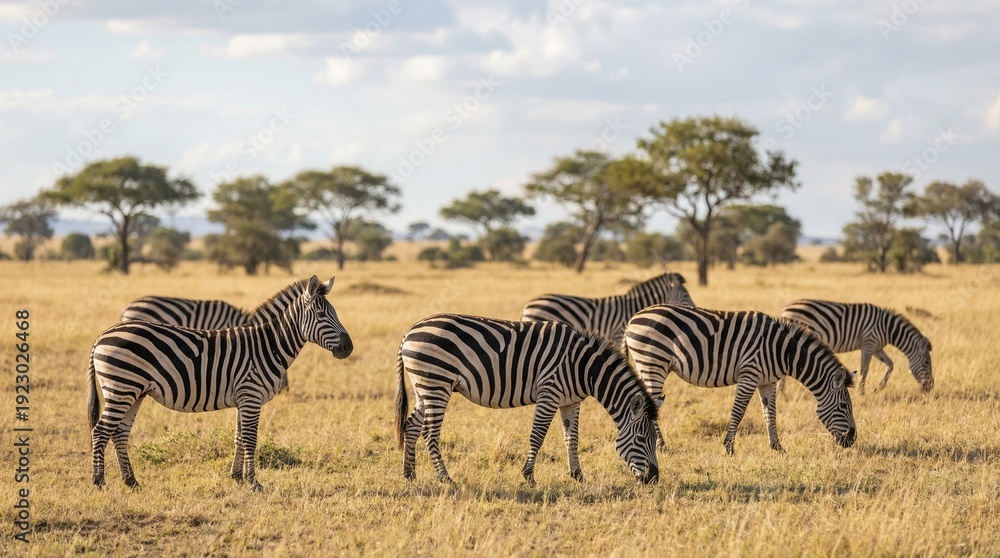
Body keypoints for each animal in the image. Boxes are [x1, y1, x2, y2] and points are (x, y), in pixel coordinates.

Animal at [394, 314, 659, 485]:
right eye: (640, 438)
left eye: (655, 440)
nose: (653, 479)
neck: (583, 367)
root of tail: (409, 332)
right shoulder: (549, 392)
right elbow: (537, 436)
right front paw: (529, 476)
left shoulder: (571, 400)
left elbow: (571, 438)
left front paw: (577, 476)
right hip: (436, 383)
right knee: (430, 432)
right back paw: (445, 478)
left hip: (424, 387)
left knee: (412, 425)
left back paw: (409, 474)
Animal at [623, 304, 857, 455]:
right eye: (844, 406)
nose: (853, 440)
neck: (781, 351)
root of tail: (632, 319)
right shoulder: (749, 374)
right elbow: (739, 411)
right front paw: (729, 447)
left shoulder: (767, 381)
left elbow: (770, 413)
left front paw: (778, 448)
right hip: (653, 363)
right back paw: (661, 446)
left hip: (647, 365)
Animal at [780, 299, 933, 393]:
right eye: (927, 362)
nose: (931, 387)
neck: (887, 328)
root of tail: (785, 309)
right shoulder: (868, 343)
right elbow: (864, 369)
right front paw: (861, 392)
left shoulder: (877, 347)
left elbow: (890, 364)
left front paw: (879, 388)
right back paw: (783, 392)